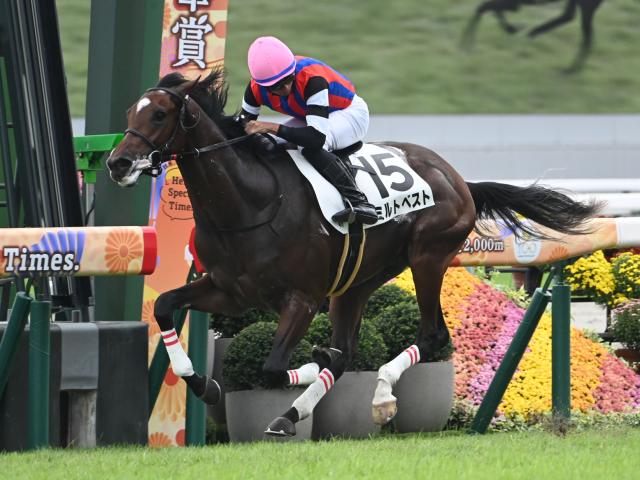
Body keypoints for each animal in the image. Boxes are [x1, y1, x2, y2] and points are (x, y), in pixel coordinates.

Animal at [106, 69, 599, 436]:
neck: (251, 202)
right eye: (131, 111)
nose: (118, 163)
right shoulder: (229, 291)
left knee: (431, 335)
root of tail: (460, 180)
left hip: (427, 258)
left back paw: (380, 396)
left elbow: (272, 367)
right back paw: (295, 413)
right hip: (358, 281)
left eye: (160, 114)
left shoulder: (302, 299)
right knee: (347, 352)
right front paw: (205, 385)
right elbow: (166, 306)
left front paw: (307, 363)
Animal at [462, 0, 605, 72]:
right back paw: (534, 32)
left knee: (586, 37)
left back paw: (571, 70)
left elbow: (483, 7)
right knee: (569, 16)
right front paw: (513, 29)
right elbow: (489, 8)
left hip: (586, 4)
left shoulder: (513, 3)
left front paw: (466, 45)